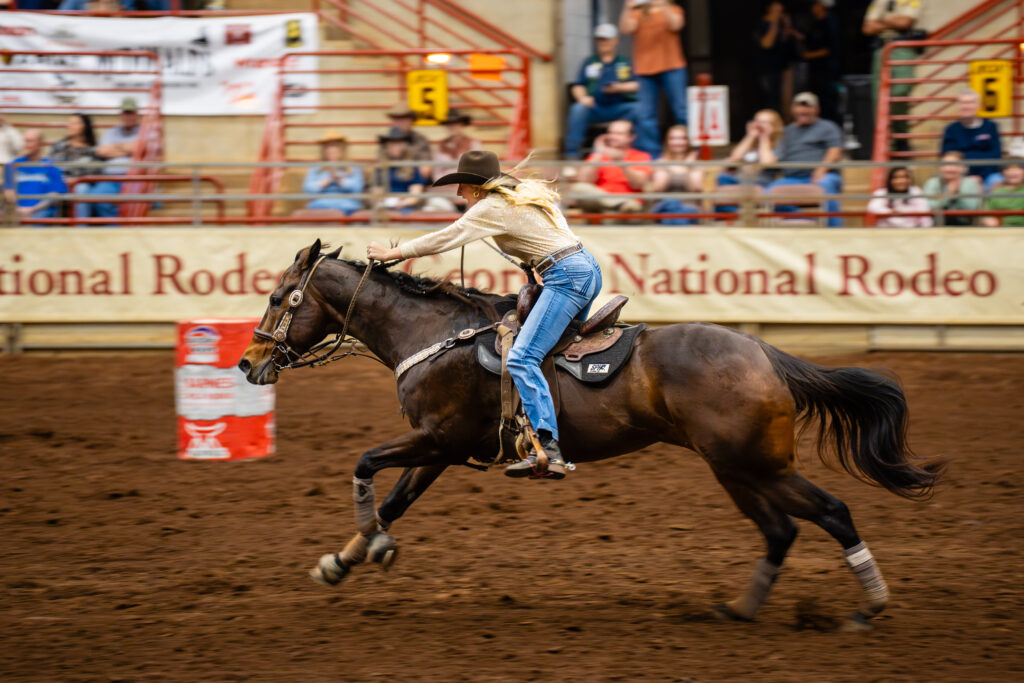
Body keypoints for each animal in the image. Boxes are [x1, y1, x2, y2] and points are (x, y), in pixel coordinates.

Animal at [238, 239, 943, 631]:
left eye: (279, 296)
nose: (247, 363)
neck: (432, 334)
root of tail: (765, 352)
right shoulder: (444, 447)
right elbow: (393, 499)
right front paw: (344, 560)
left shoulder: (438, 440)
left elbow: (364, 466)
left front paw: (366, 550)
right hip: (735, 468)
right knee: (781, 531)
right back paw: (742, 610)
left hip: (757, 464)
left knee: (832, 511)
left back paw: (870, 608)